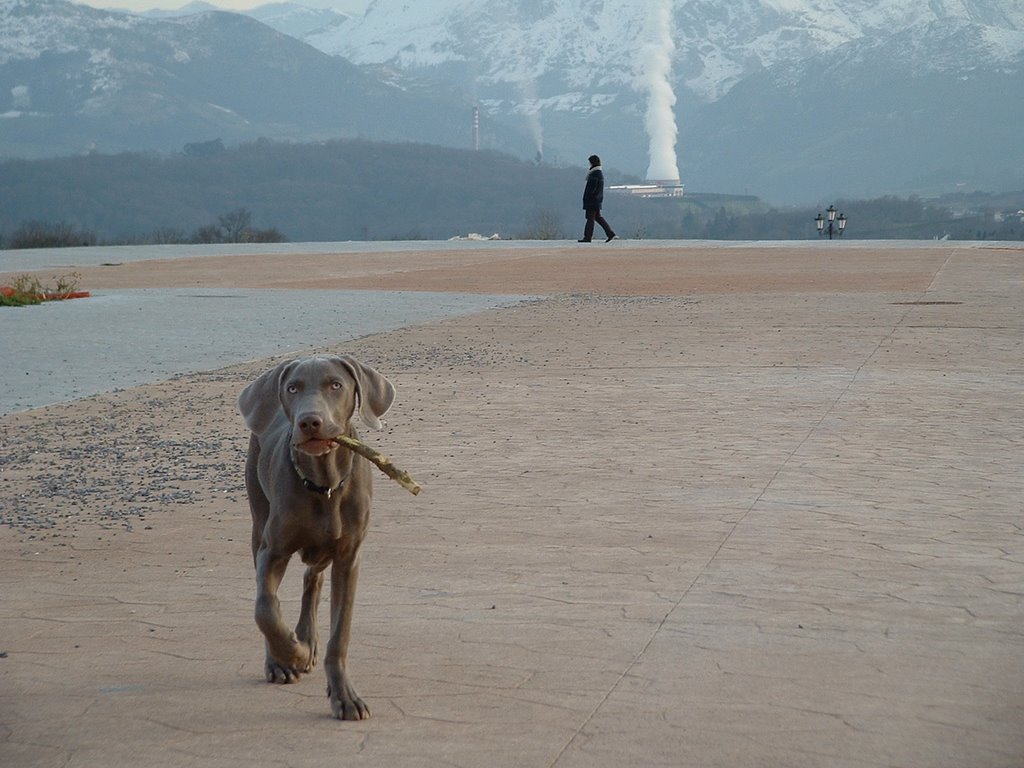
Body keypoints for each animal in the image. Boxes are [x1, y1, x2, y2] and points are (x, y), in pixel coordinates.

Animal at [239, 354, 395, 720]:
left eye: (335, 385)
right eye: (293, 388)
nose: (310, 421)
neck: (324, 485)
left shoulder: (349, 558)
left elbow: (340, 635)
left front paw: (345, 697)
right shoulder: (273, 550)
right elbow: (265, 608)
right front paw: (291, 653)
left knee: (313, 578)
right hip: (258, 517)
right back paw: (283, 659)